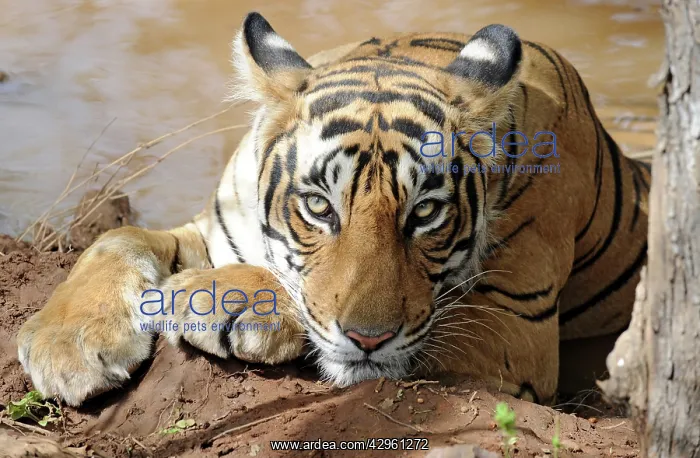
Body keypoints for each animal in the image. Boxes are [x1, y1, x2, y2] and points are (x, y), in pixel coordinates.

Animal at [16, 12, 651, 407]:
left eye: (425, 214)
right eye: (320, 207)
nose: (369, 339)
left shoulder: (514, 327)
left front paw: (220, 298)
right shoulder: (216, 228)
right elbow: (118, 237)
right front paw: (69, 344)